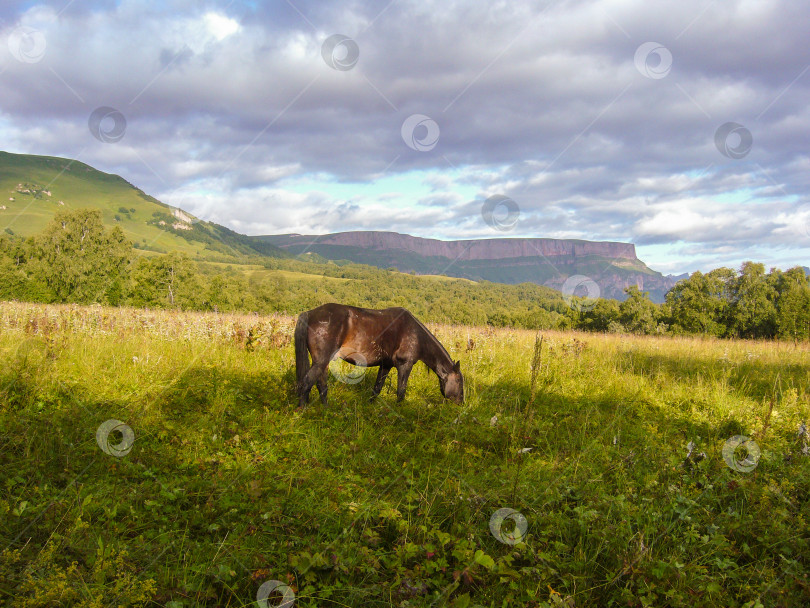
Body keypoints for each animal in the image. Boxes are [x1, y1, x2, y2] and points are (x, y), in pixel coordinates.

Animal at [296, 302, 460, 408]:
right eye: (459, 381)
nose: (461, 403)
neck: (416, 336)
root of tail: (309, 313)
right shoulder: (405, 365)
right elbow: (401, 392)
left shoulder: (385, 365)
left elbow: (377, 388)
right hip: (321, 361)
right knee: (307, 382)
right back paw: (302, 411)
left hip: (322, 363)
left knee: (321, 384)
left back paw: (326, 409)